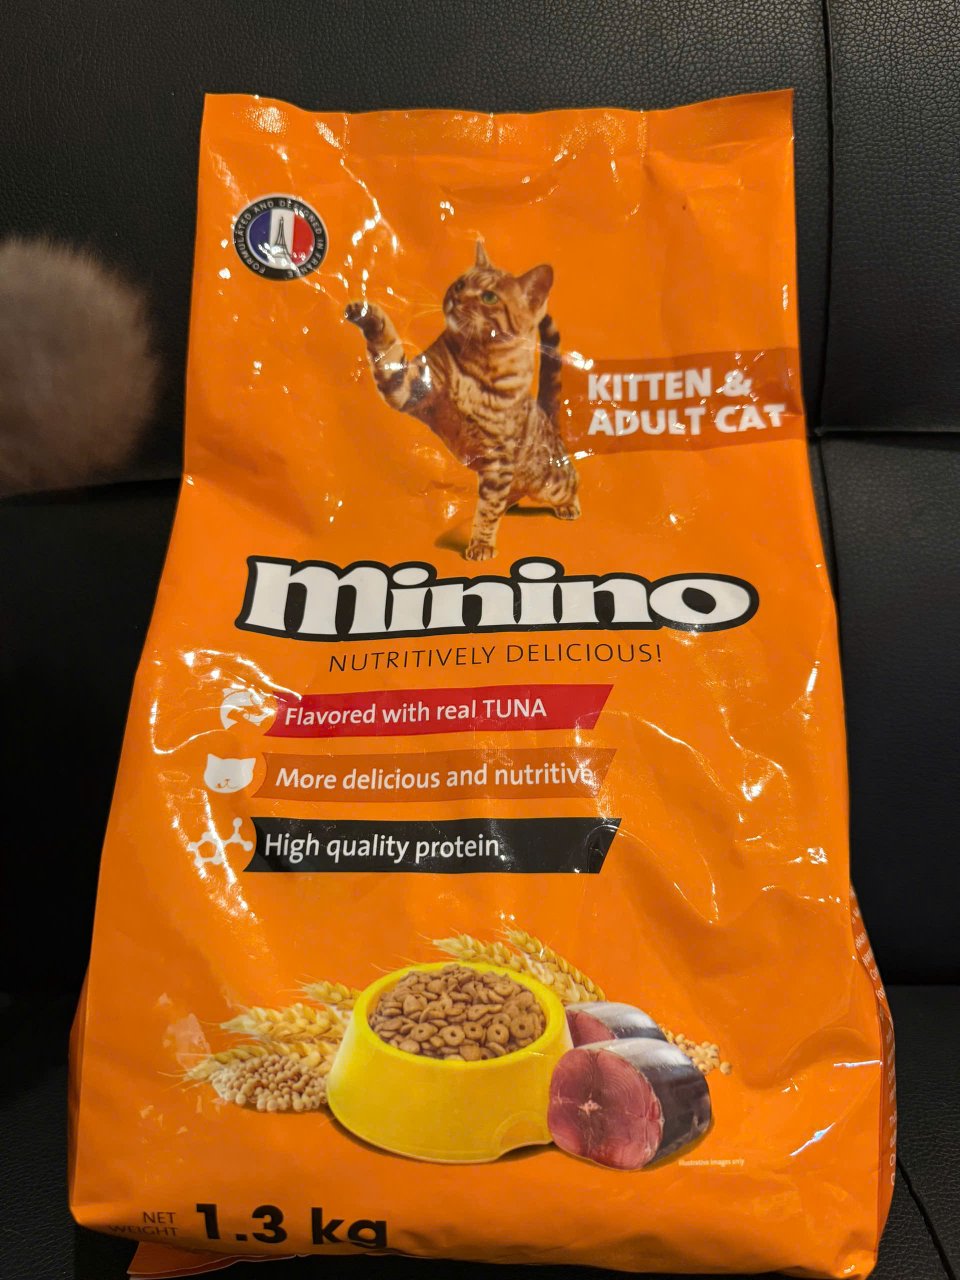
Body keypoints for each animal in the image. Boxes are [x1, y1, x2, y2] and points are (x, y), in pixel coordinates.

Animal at [345, 241, 580, 561]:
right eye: (460, 284)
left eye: (489, 296)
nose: (455, 299)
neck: (475, 362)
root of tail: (547, 415)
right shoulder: (410, 386)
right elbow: (388, 348)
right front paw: (367, 313)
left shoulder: (498, 457)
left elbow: (488, 510)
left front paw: (481, 544)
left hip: (549, 481)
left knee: (570, 480)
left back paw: (569, 506)